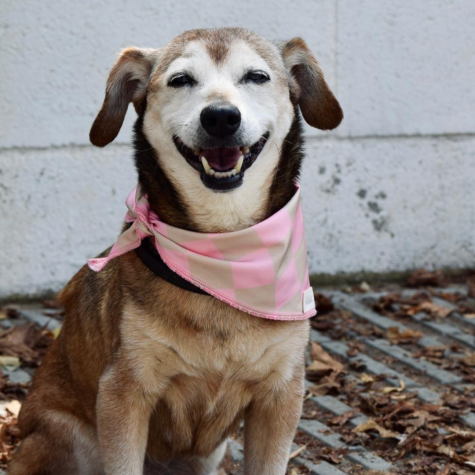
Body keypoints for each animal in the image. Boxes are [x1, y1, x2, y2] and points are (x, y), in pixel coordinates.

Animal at [10, 27, 342, 475]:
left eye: (256, 76)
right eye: (181, 80)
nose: (220, 117)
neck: (223, 252)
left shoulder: (281, 394)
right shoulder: (123, 393)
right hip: (68, 437)